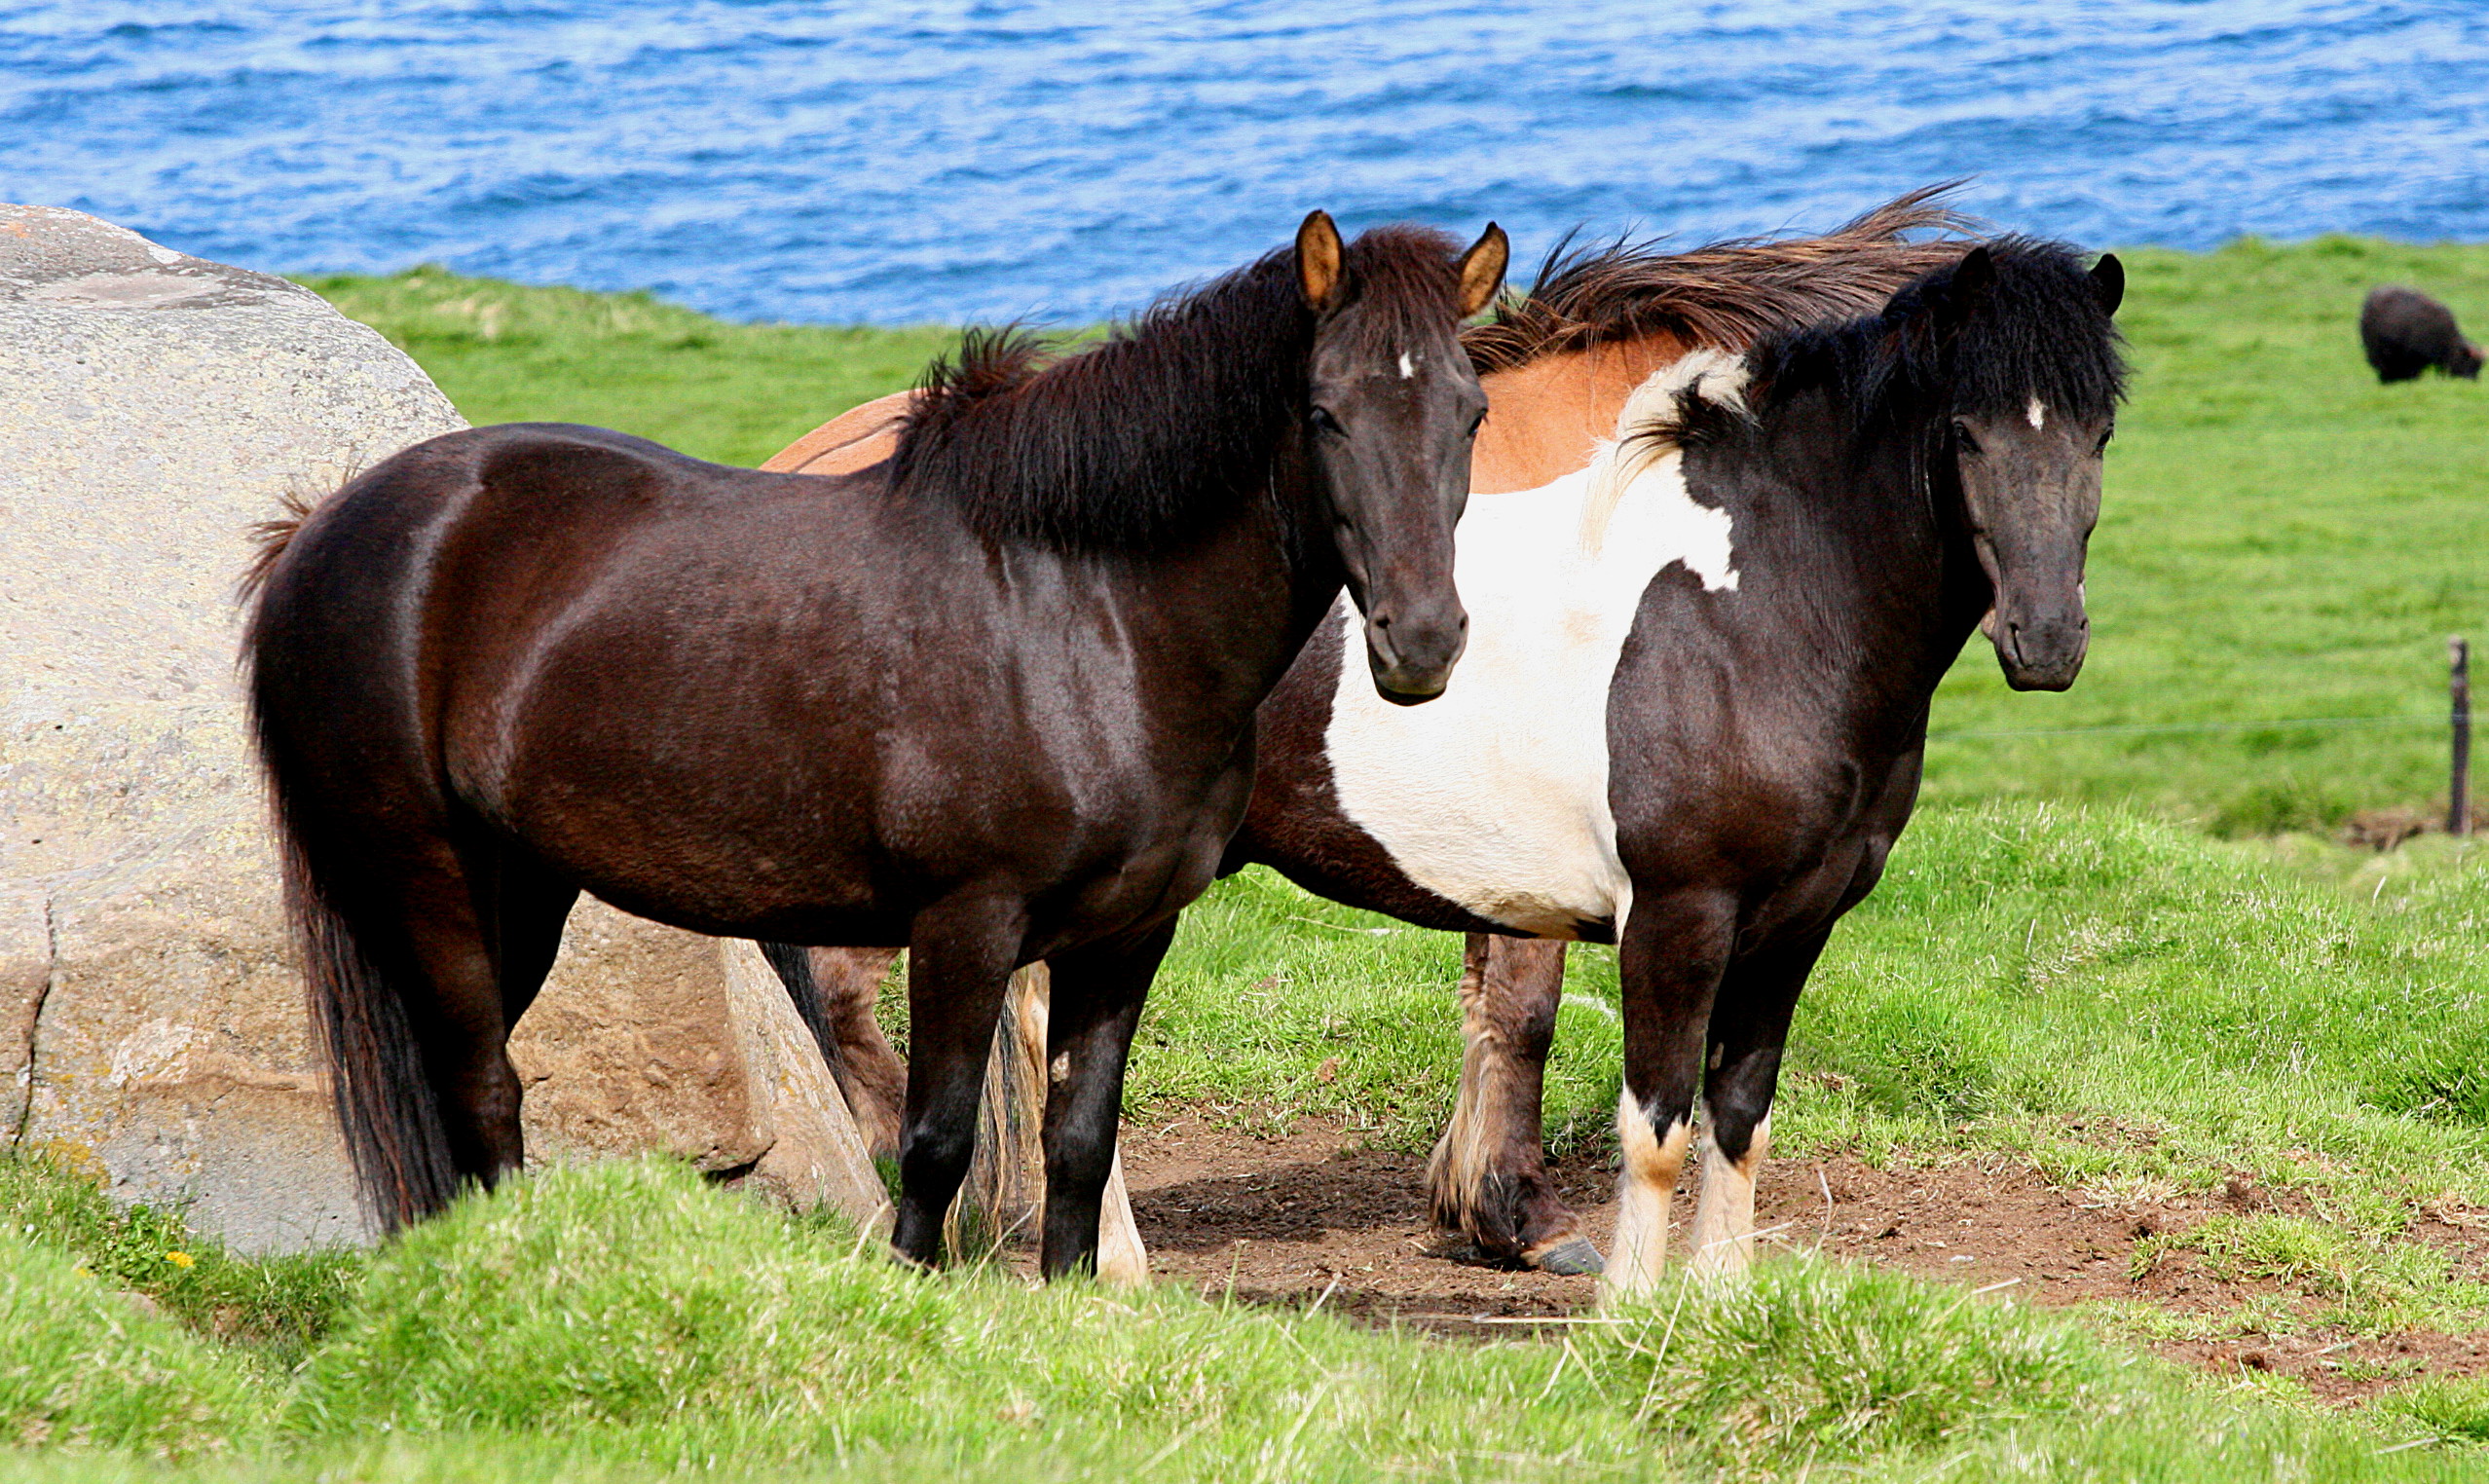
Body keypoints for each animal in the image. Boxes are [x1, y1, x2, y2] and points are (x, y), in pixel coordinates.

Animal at [242, 211, 1503, 1275]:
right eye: (1324, 411)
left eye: (1471, 414)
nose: (1422, 642)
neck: (1084, 614)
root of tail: (327, 527)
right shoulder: (964, 925)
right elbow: (935, 1143)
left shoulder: (1129, 935)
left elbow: (1079, 1146)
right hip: (427, 876)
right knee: (480, 1086)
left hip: (525, 886)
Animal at [1234, 238, 2130, 1294]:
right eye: (1965, 433)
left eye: (2100, 432)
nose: (2047, 639)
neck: (1745, 612)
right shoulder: (1671, 916)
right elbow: (1640, 1117)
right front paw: (1610, 1290)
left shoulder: (1795, 922)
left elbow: (1737, 1119)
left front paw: (1719, 1303)